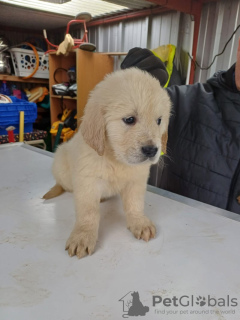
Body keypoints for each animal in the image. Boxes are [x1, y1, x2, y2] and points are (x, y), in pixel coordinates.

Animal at [43, 67, 171, 258]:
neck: (116, 159)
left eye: (159, 121)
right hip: (60, 163)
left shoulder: (137, 181)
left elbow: (135, 204)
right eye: (129, 119)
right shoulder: (87, 182)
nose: (152, 150)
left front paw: (139, 222)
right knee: (62, 184)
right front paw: (83, 236)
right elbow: (88, 212)